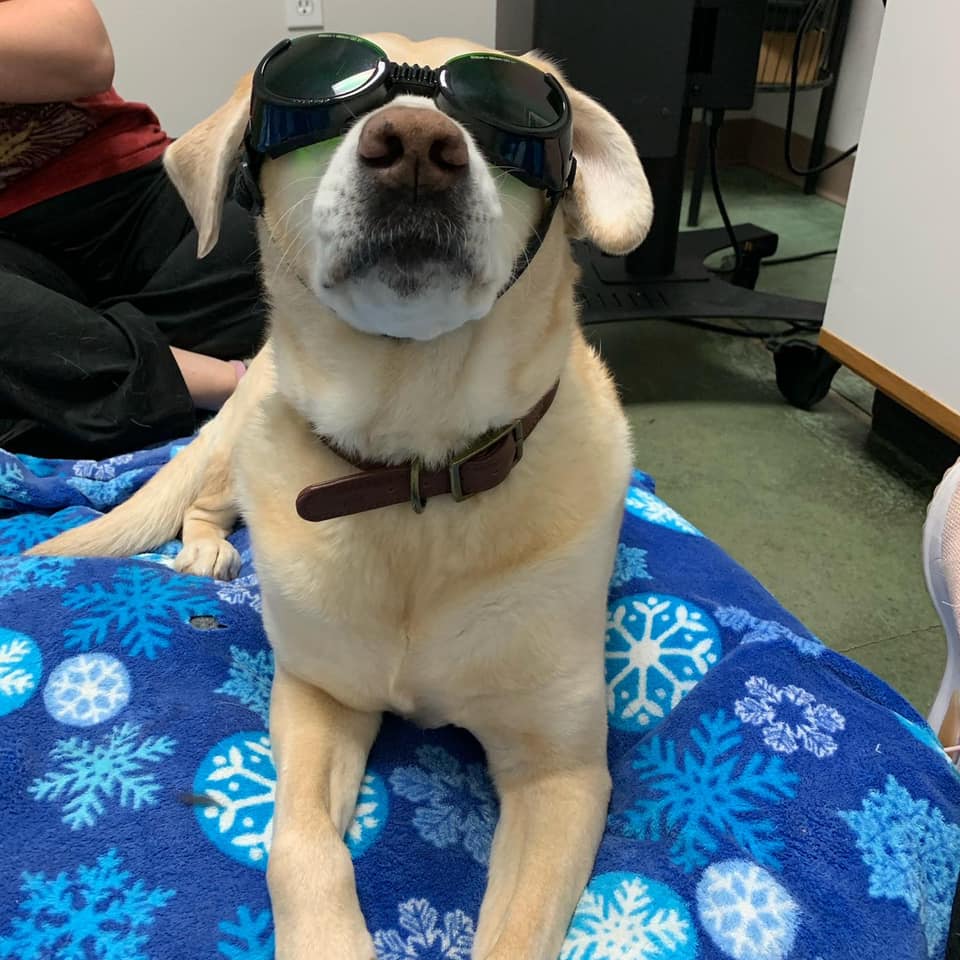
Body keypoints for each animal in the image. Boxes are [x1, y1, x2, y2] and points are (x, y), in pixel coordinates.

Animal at [32, 33, 652, 960]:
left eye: (511, 102)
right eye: (318, 89)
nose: (417, 150)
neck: (413, 470)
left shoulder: (562, 770)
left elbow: (517, 931)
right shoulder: (314, 698)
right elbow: (299, 846)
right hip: (243, 430)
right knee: (204, 497)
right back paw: (205, 549)